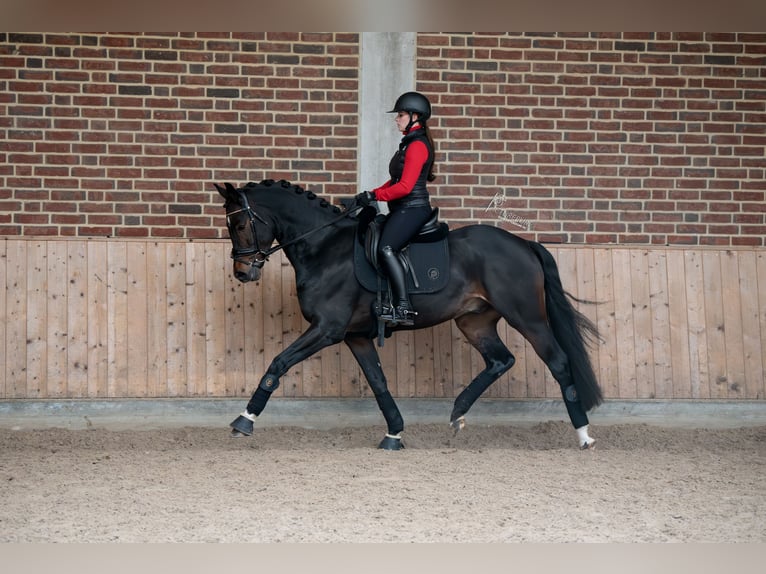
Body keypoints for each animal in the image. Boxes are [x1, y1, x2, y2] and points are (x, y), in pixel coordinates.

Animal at [216, 179, 608, 450]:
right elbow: (378, 383)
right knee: (501, 360)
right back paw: (458, 413)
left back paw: (584, 435)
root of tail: (523, 244)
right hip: (474, 321)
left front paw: (244, 419)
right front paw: (394, 433)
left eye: (240, 225)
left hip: (527, 317)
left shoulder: (328, 329)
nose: (242, 272)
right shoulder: (355, 336)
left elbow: (278, 363)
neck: (325, 248)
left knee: (558, 362)